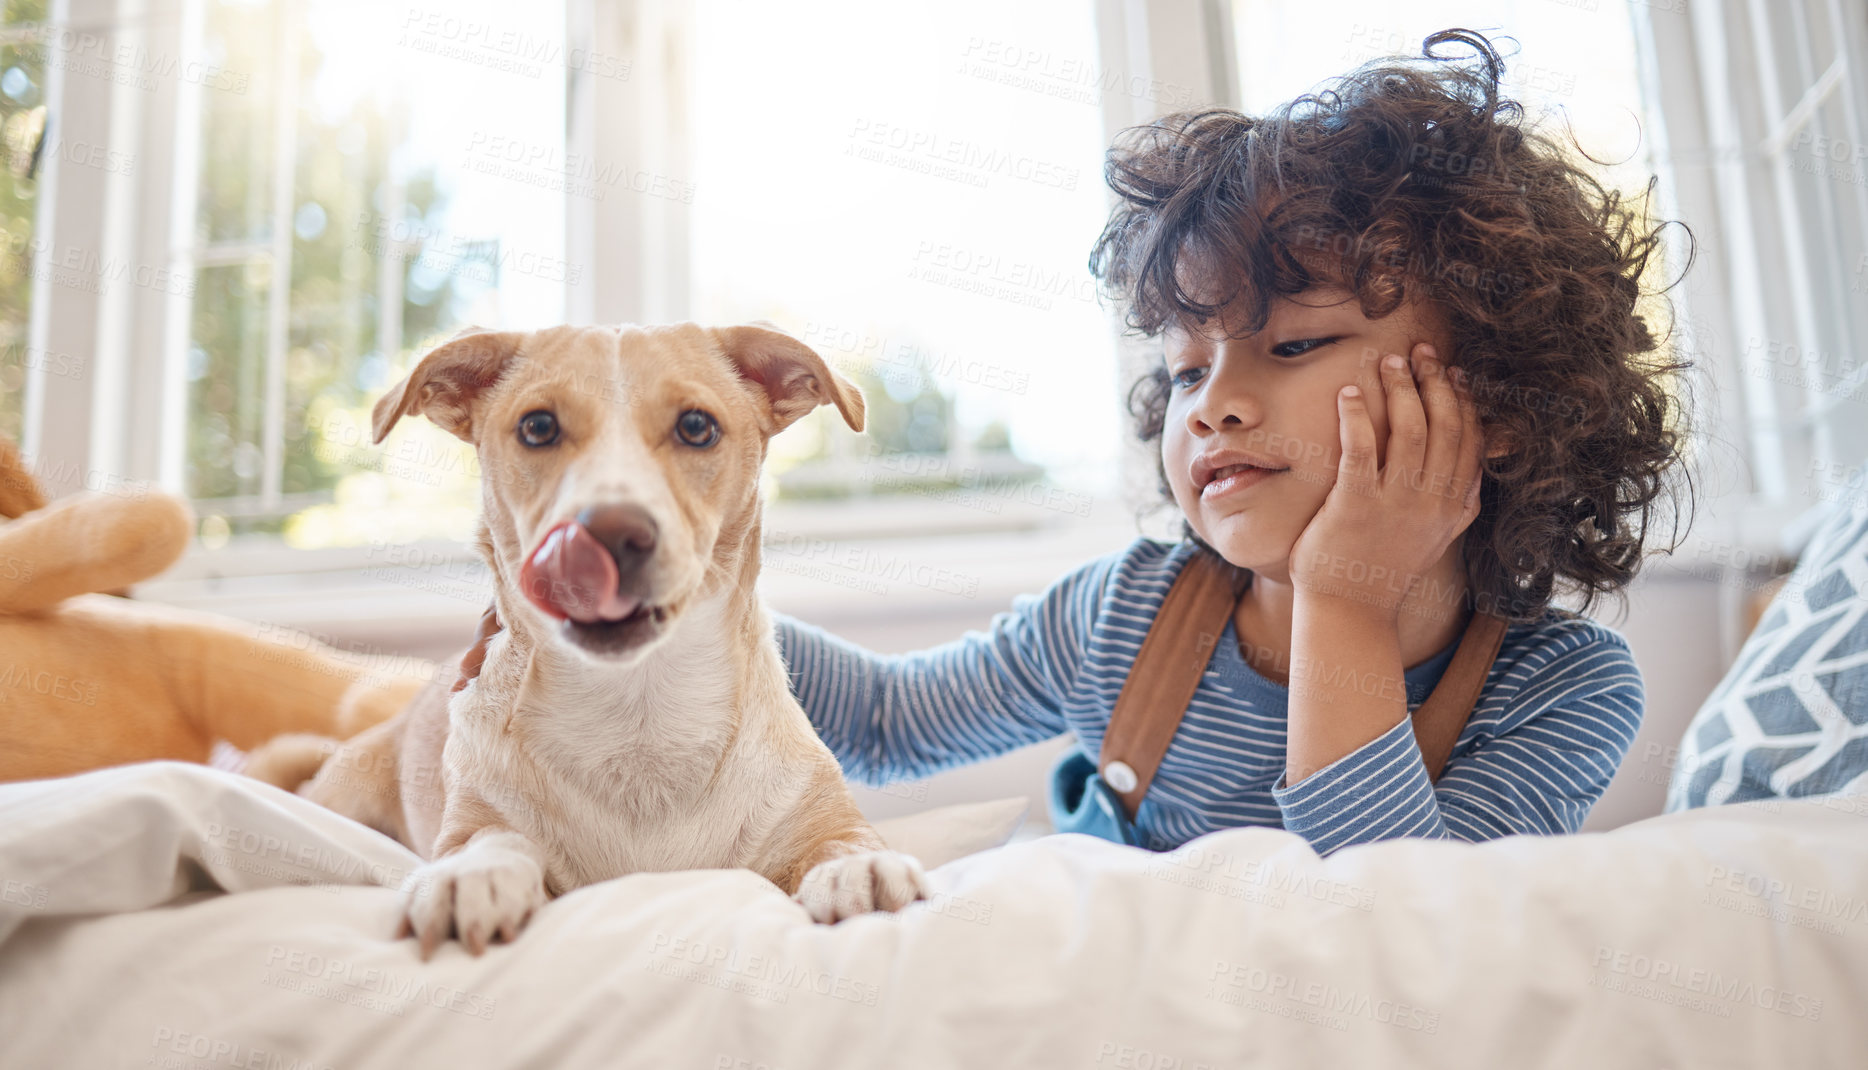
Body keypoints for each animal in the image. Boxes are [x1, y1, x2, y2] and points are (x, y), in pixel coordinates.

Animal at [248, 323, 934, 952]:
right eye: (538, 428)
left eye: (696, 426)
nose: (609, 536)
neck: (639, 715)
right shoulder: (475, 813)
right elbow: (491, 837)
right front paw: (475, 874)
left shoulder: (815, 812)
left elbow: (843, 839)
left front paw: (859, 868)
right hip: (337, 801)